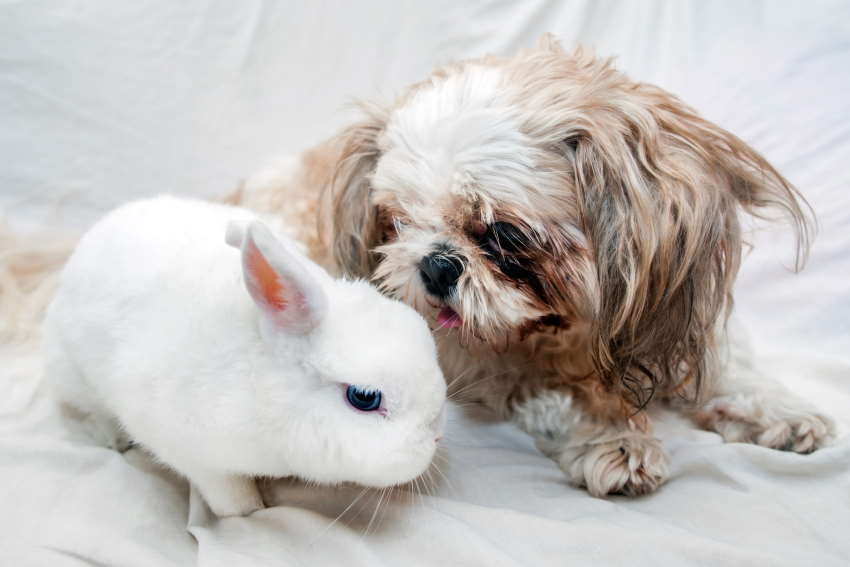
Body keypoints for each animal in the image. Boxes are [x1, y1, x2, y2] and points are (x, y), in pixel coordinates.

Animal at [43, 196, 448, 520]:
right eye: (364, 398)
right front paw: (250, 512)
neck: (268, 390)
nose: (435, 437)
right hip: (74, 377)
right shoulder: (195, 454)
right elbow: (229, 494)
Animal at [230, 36, 828, 496]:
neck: (567, 327)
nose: (435, 265)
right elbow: (563, 396)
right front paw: (614, 435)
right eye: (395, 223)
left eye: (504, 235)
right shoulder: (487, 362)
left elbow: (728, 364)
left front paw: (778, 408)